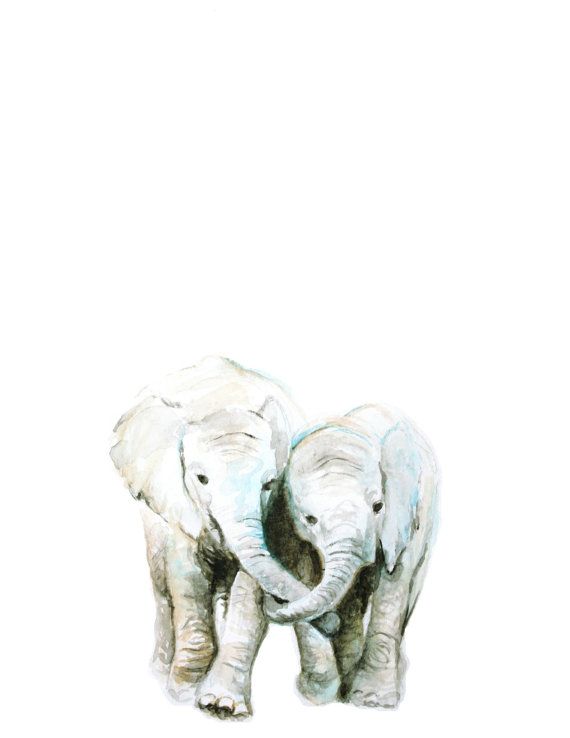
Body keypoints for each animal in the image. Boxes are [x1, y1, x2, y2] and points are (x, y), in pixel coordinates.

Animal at [268, 403, 439, 708]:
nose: (272, 605)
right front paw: (317, 695)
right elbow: (304, 574)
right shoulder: (288, 523)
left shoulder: (404, 517)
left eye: (378, 506)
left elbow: (394, 581)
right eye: (309, 519)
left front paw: (372, 700)